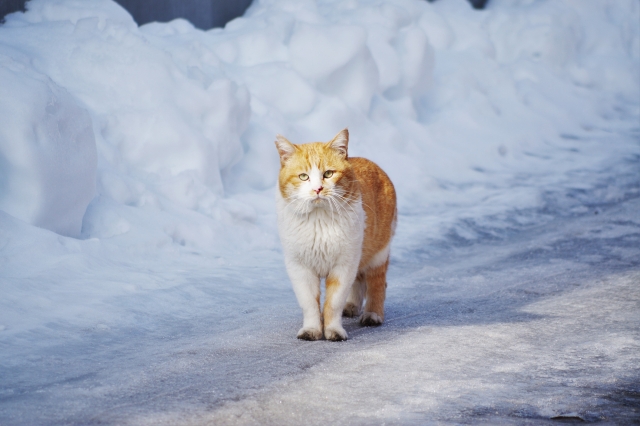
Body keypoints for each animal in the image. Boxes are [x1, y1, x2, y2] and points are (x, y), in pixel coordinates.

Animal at [274, 128, 396, 342]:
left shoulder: (343, 266)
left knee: (377, 283)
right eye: (303, 176)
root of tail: (372, 163)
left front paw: (333, 330)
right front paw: (312, 329)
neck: (318, 221)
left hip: (377, 253)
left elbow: (333, 302)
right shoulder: (300, 268)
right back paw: (352, 306)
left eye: (328, 174)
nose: (318, 189)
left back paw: (372, 314)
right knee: (359, 282)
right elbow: (310, 304)